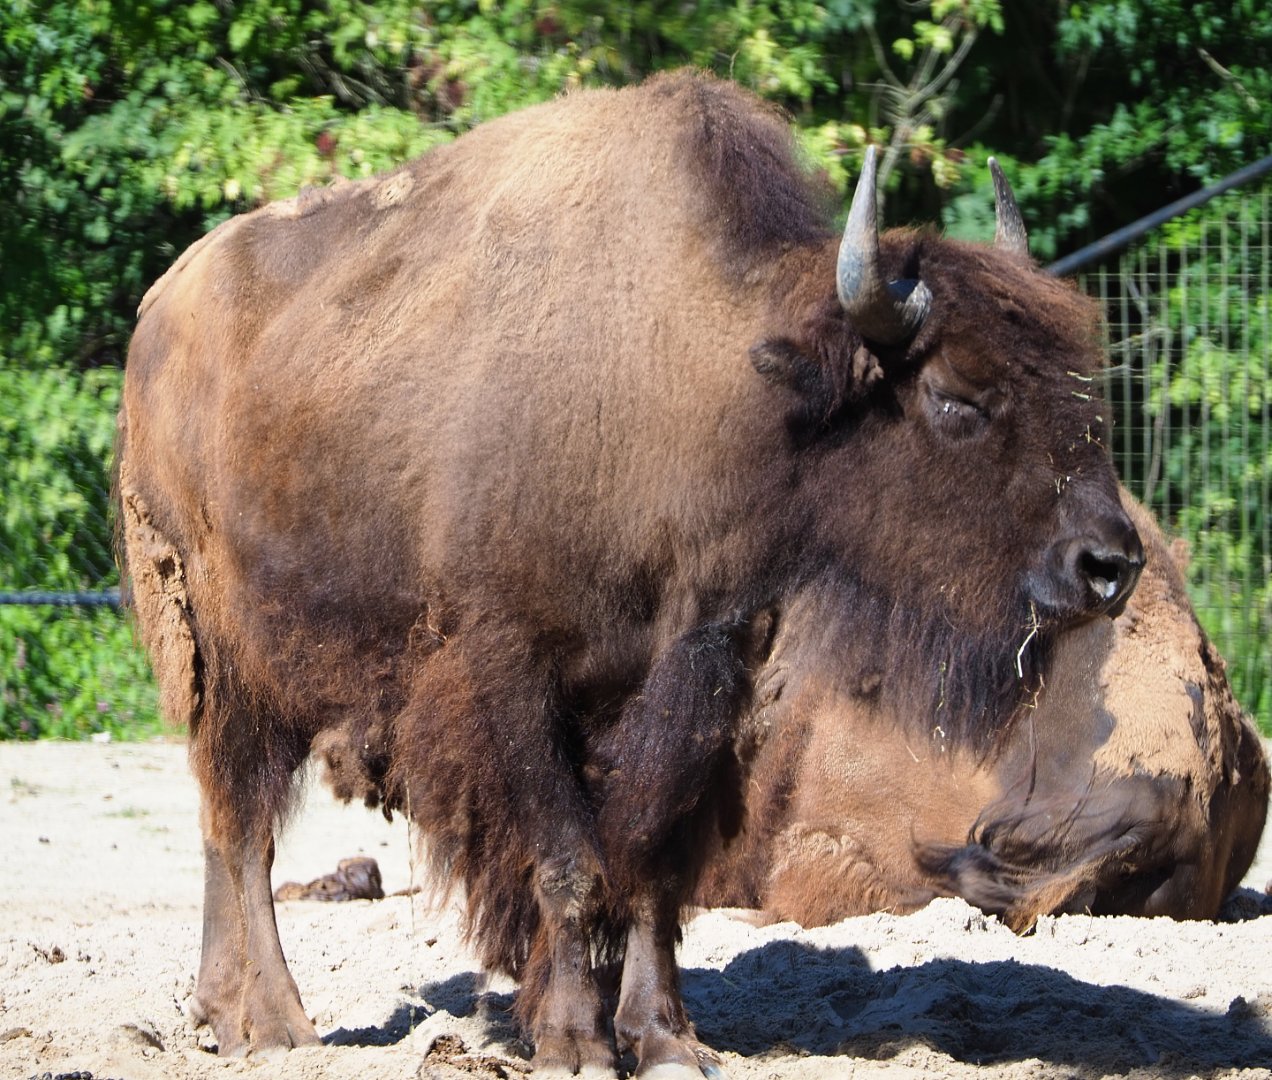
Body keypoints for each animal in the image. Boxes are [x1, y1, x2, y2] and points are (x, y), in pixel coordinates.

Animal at [118, 72, 1143, 1076]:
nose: (1111, 563)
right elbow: (568, 859)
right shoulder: (511, 670)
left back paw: (226, 1013)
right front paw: (574, 1042)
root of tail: (155, 314)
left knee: (224, 823)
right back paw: (273, 1024)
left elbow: (649, 862)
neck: (697, 377)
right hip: (225, 657)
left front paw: (665, 1039)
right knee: (240, 828)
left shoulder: (700, 672)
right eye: (956, 398)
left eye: (1081, 392)